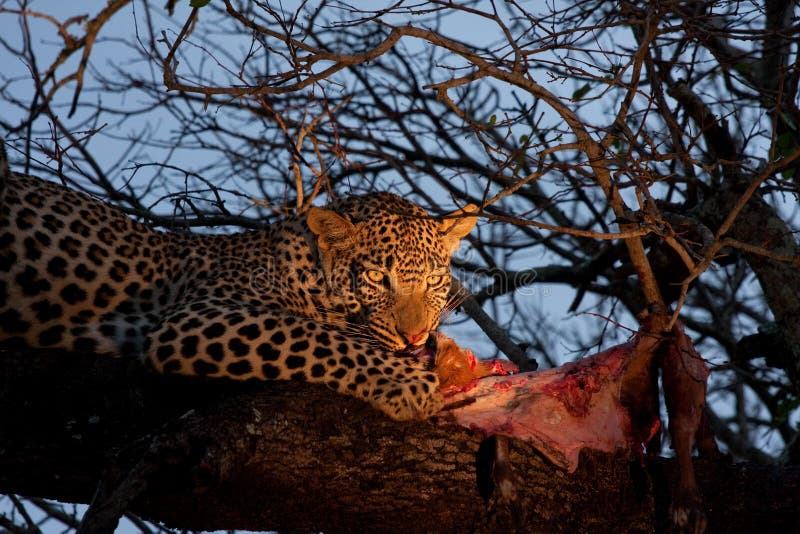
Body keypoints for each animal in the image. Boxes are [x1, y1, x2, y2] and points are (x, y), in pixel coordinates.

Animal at [0, 144, 476, 420]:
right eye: (377, 277)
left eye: (435, 280)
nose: (415, 336)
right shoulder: (195, 315)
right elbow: (318, 336)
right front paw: (408, 385)